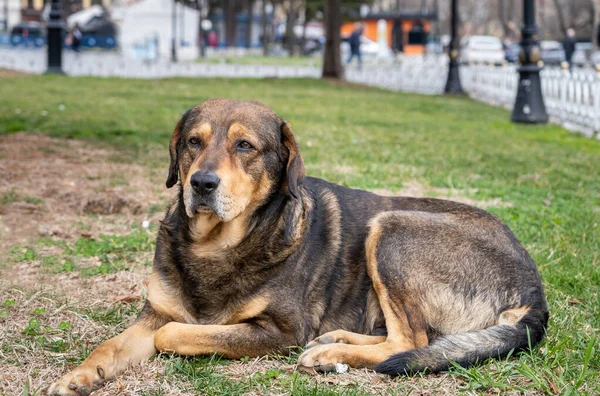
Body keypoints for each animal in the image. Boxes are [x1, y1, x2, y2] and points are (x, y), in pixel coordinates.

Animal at [50, 98, 548, 392]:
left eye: (245, 146)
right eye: (193, 141)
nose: (202, 183)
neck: (216, 243)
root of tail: (534, 291)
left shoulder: (280, 331)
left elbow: (175, 333)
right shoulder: (154, 312)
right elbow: (111, 346)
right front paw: (78, 376)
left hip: (392, 228)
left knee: (410, 340)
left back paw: (330, 354)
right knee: (409, 338)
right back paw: (333, 340)